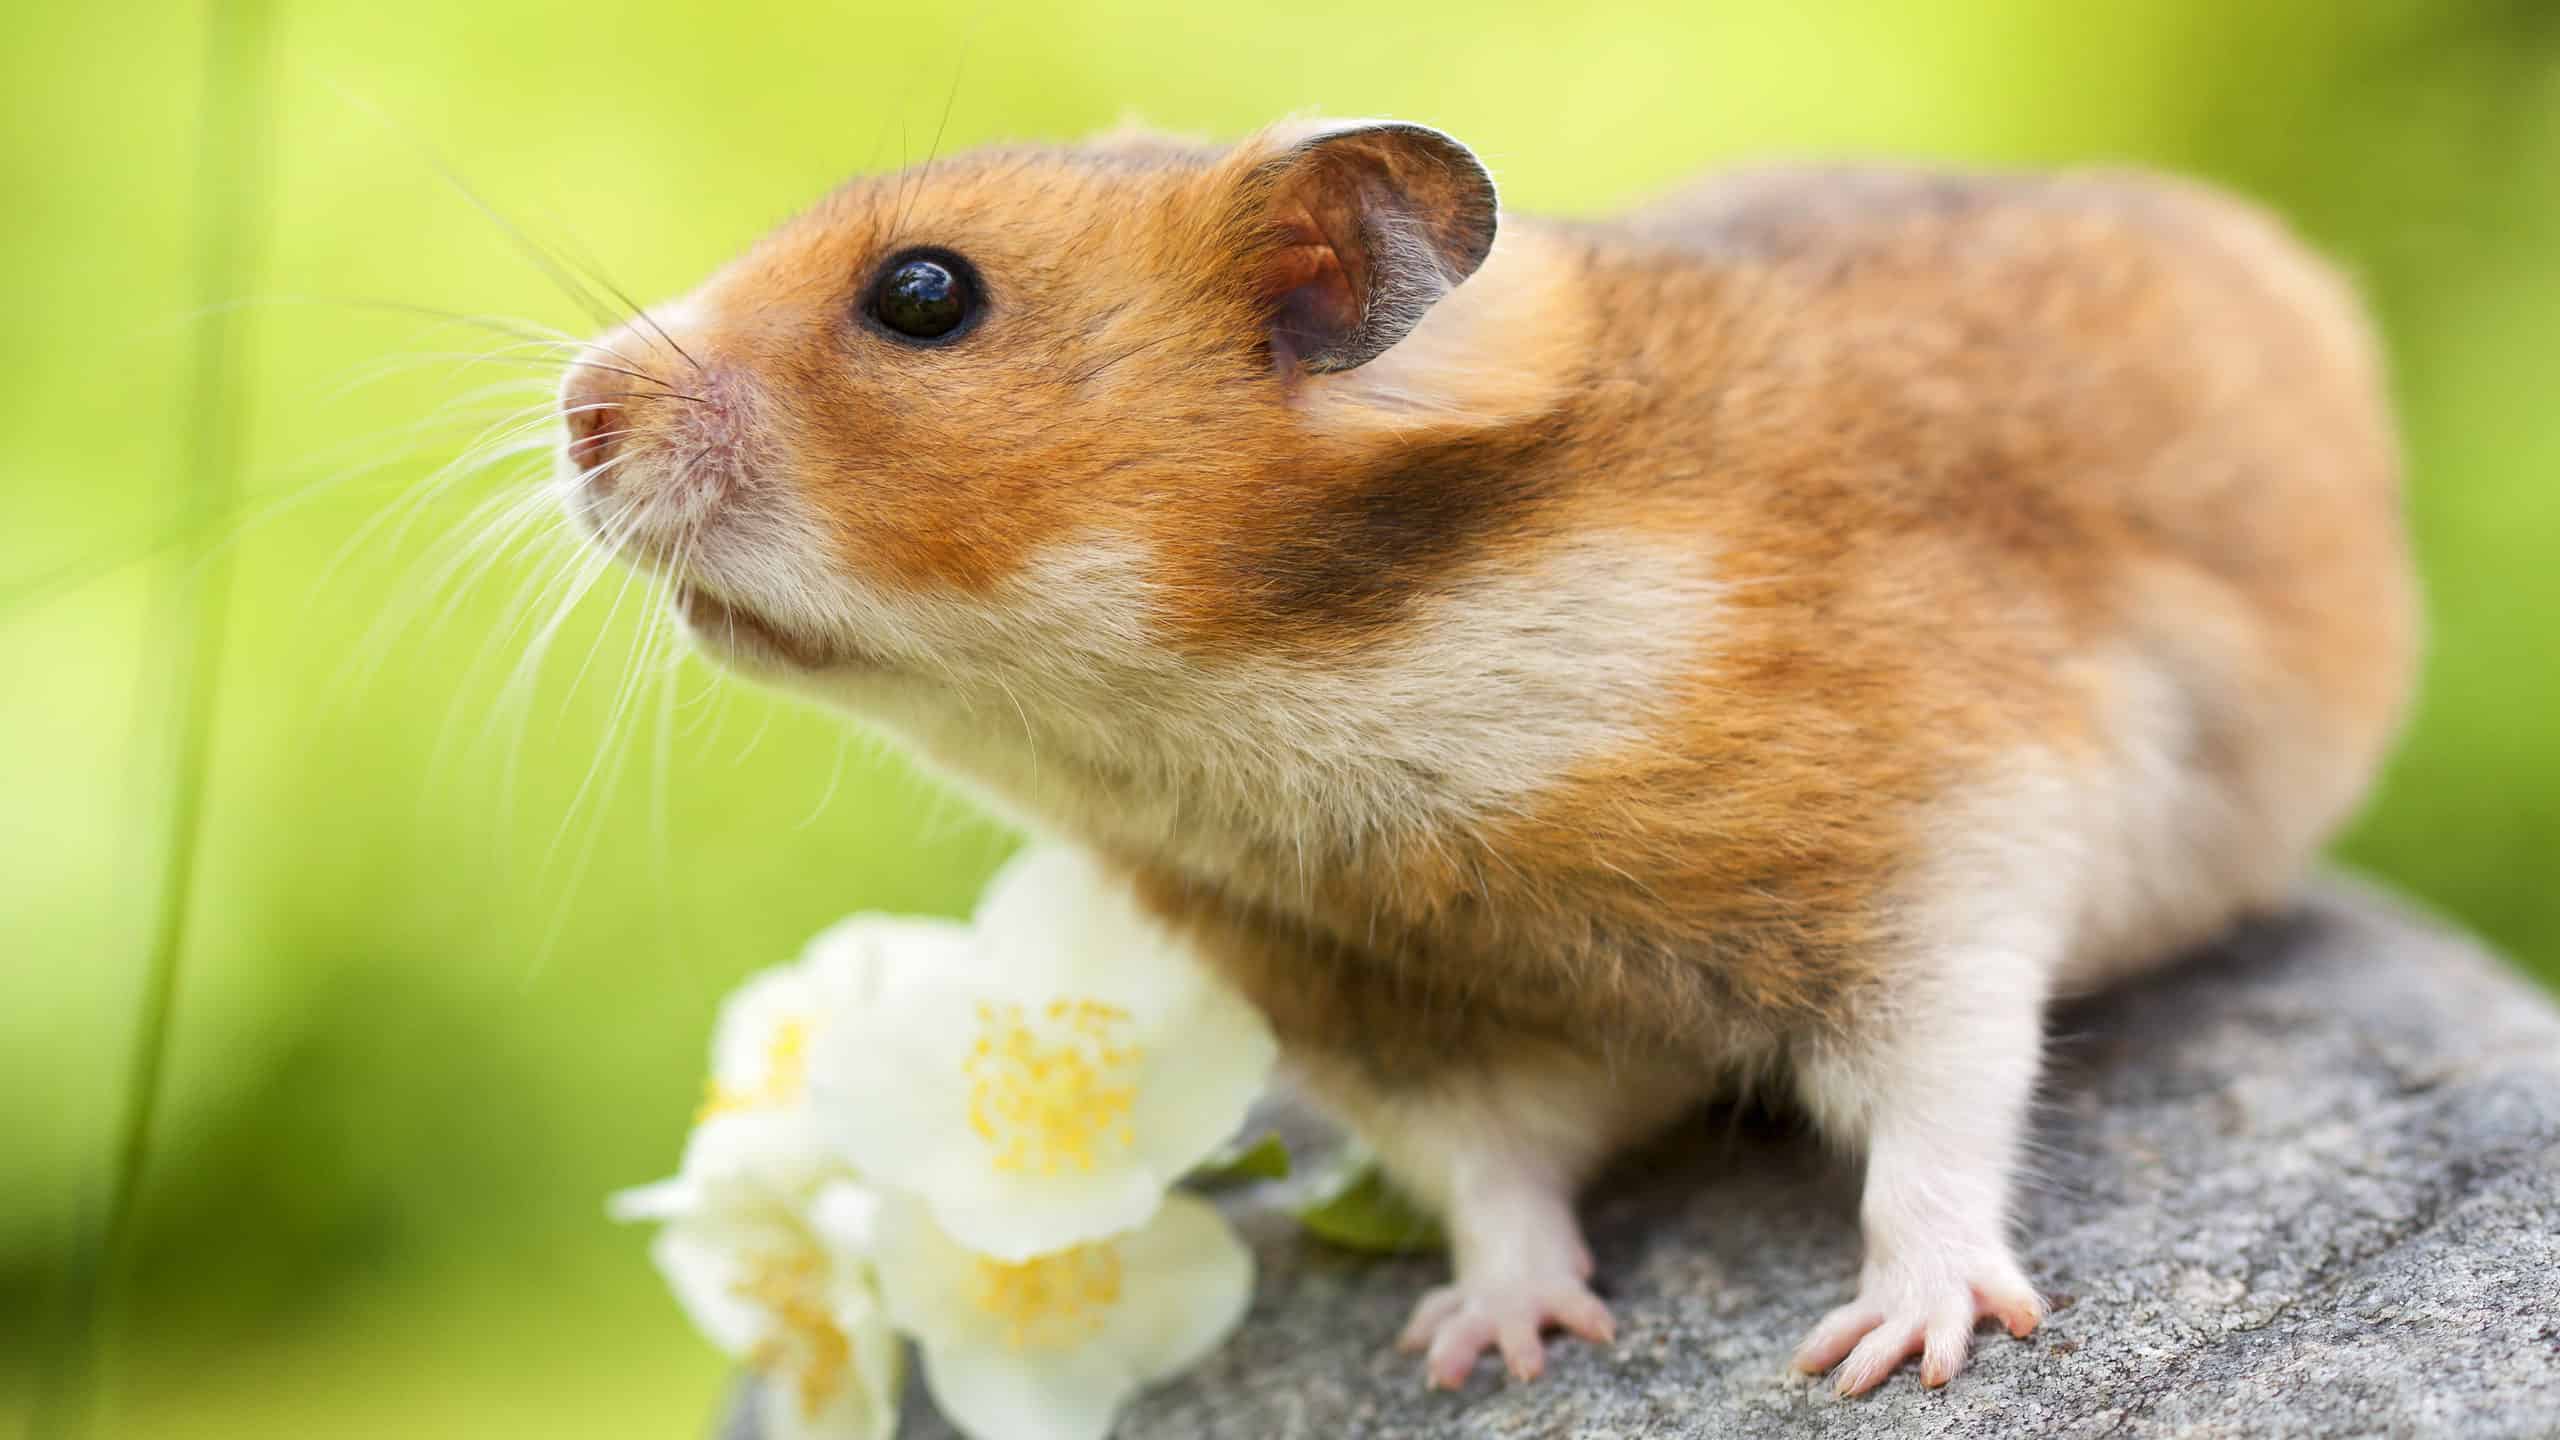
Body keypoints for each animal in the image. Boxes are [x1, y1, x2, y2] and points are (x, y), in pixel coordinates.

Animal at [552, 118, 2418, 1395]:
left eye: (923, 295)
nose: (574, 413)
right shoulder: (1394, 1016)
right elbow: (1493, 1179)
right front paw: (1491, 1349)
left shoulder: (1948, 843)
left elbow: (1942, 1106)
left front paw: (1898, 1346)